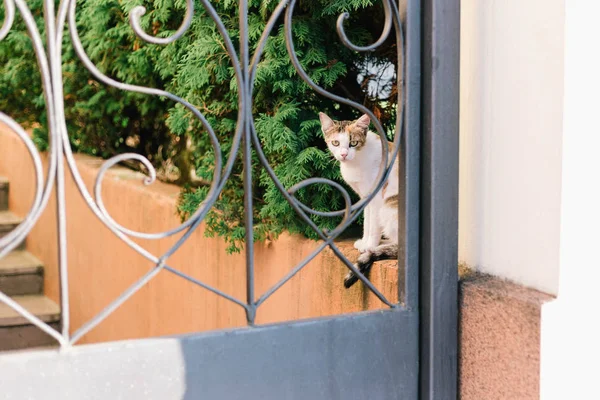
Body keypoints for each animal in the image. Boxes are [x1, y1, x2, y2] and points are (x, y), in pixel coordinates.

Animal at [318, 111, 398, 288]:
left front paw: (370, 245)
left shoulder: (376, 198)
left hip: (389, 207)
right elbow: (367, 223)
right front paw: (364, 243)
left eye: (353, 143)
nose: (343, 154)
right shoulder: (365, 197)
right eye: (335, 142)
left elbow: (373, 226)